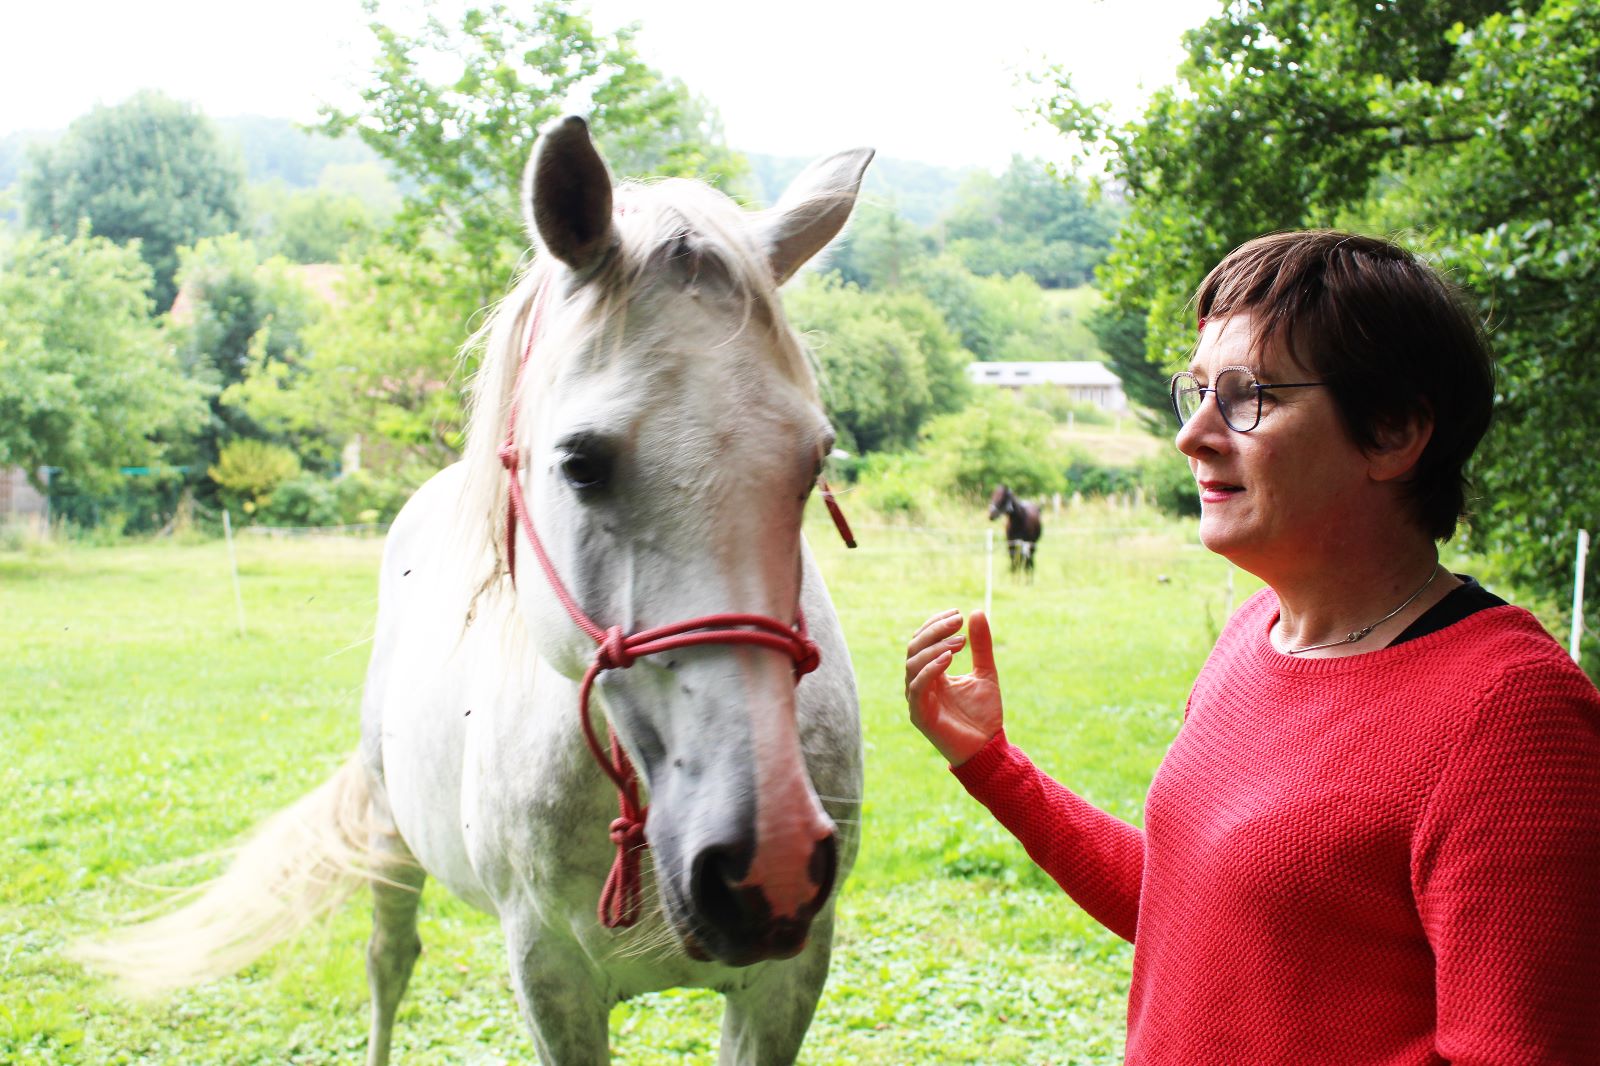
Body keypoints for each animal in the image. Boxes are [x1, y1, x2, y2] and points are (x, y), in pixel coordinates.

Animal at [76, 116, 871, 1066]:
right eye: (580, 462)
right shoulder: (550, 972)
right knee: (389, 962)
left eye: (814, 461)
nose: (768, 861)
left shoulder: (786, 981)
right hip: (388, 834)